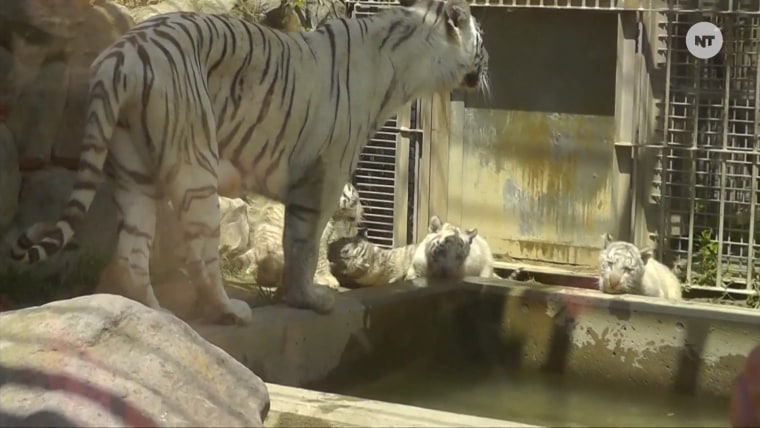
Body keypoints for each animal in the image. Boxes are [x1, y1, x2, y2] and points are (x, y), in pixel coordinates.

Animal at [8, 0, 489, 325]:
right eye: (482, 41)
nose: (486, 71)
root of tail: (122, 52)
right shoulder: (325, 172)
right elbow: (304, 243)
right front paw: (309, 298)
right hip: (194, 167)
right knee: (201, 256)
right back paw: (231, 311)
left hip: (132, 170)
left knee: (131, 252)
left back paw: (156, 314)